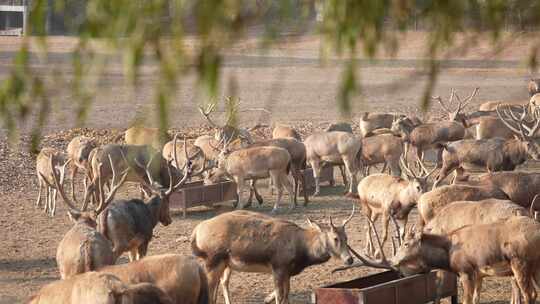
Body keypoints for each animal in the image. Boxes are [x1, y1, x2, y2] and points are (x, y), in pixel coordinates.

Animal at [192, 208, 356, 304]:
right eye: (335, 238)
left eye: (346, 237)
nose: (350, 259)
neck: (301, 249)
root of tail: (196, 231)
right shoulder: (278, 267)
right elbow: (279, 296)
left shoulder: (287, 272)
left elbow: (287, 295)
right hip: (213, 261)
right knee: (211, 293)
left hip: (225, 264)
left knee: (222, 284)